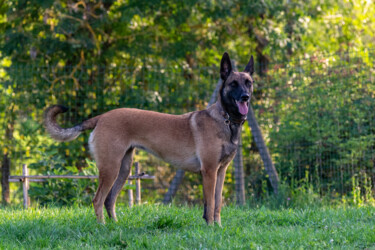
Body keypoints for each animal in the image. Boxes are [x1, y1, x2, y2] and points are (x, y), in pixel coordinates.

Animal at [44, 52, 256, 225]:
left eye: (248, 82)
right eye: (233, 84)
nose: (245, 97)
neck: (226, 119)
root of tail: (102, 117)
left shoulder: (220, 172)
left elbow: (218, 204)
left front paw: (218, 227)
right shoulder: (209, 171)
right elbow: (210, 204)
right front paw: (211, 228)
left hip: (123, 169)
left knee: (109, 200)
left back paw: (115, 226)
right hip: (110, 168)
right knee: (97, 200)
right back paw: (102, 227)